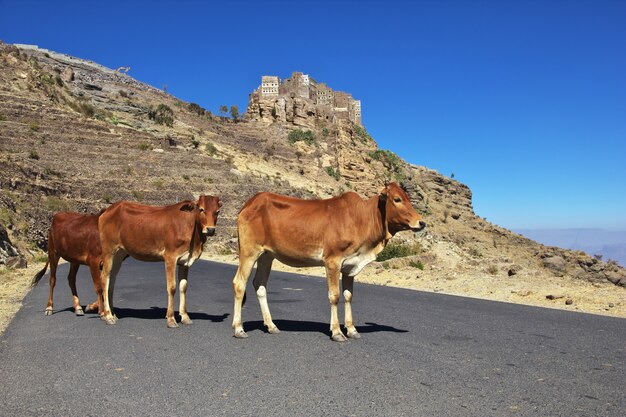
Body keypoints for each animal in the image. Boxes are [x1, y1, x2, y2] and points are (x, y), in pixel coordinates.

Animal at [97, 195, 222, 328]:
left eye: (217, 211)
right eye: (201, 209)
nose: (210, 230)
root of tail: (108, 210)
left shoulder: (185, 262)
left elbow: (183, 287)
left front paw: (185, 317)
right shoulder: (170, 258)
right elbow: (172, 287)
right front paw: (171, 319)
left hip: (119, 255)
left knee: (111, 280)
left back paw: (113, 314)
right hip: (109, 251)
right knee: (104, 278)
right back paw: (108, 316)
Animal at [232, 182, 426, 342]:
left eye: (408, 198)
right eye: (397, 199)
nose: (421, 222)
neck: (361, 219)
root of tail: (250, 203)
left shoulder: (350, 266)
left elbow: (348, 296)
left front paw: (352, 329)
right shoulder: (332, 261)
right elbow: (335, 296)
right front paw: (337, 332)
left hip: (267, 255)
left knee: (260, 285)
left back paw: (271, 326)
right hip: (249, 252)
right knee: (239, 283)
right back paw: (239, 328)